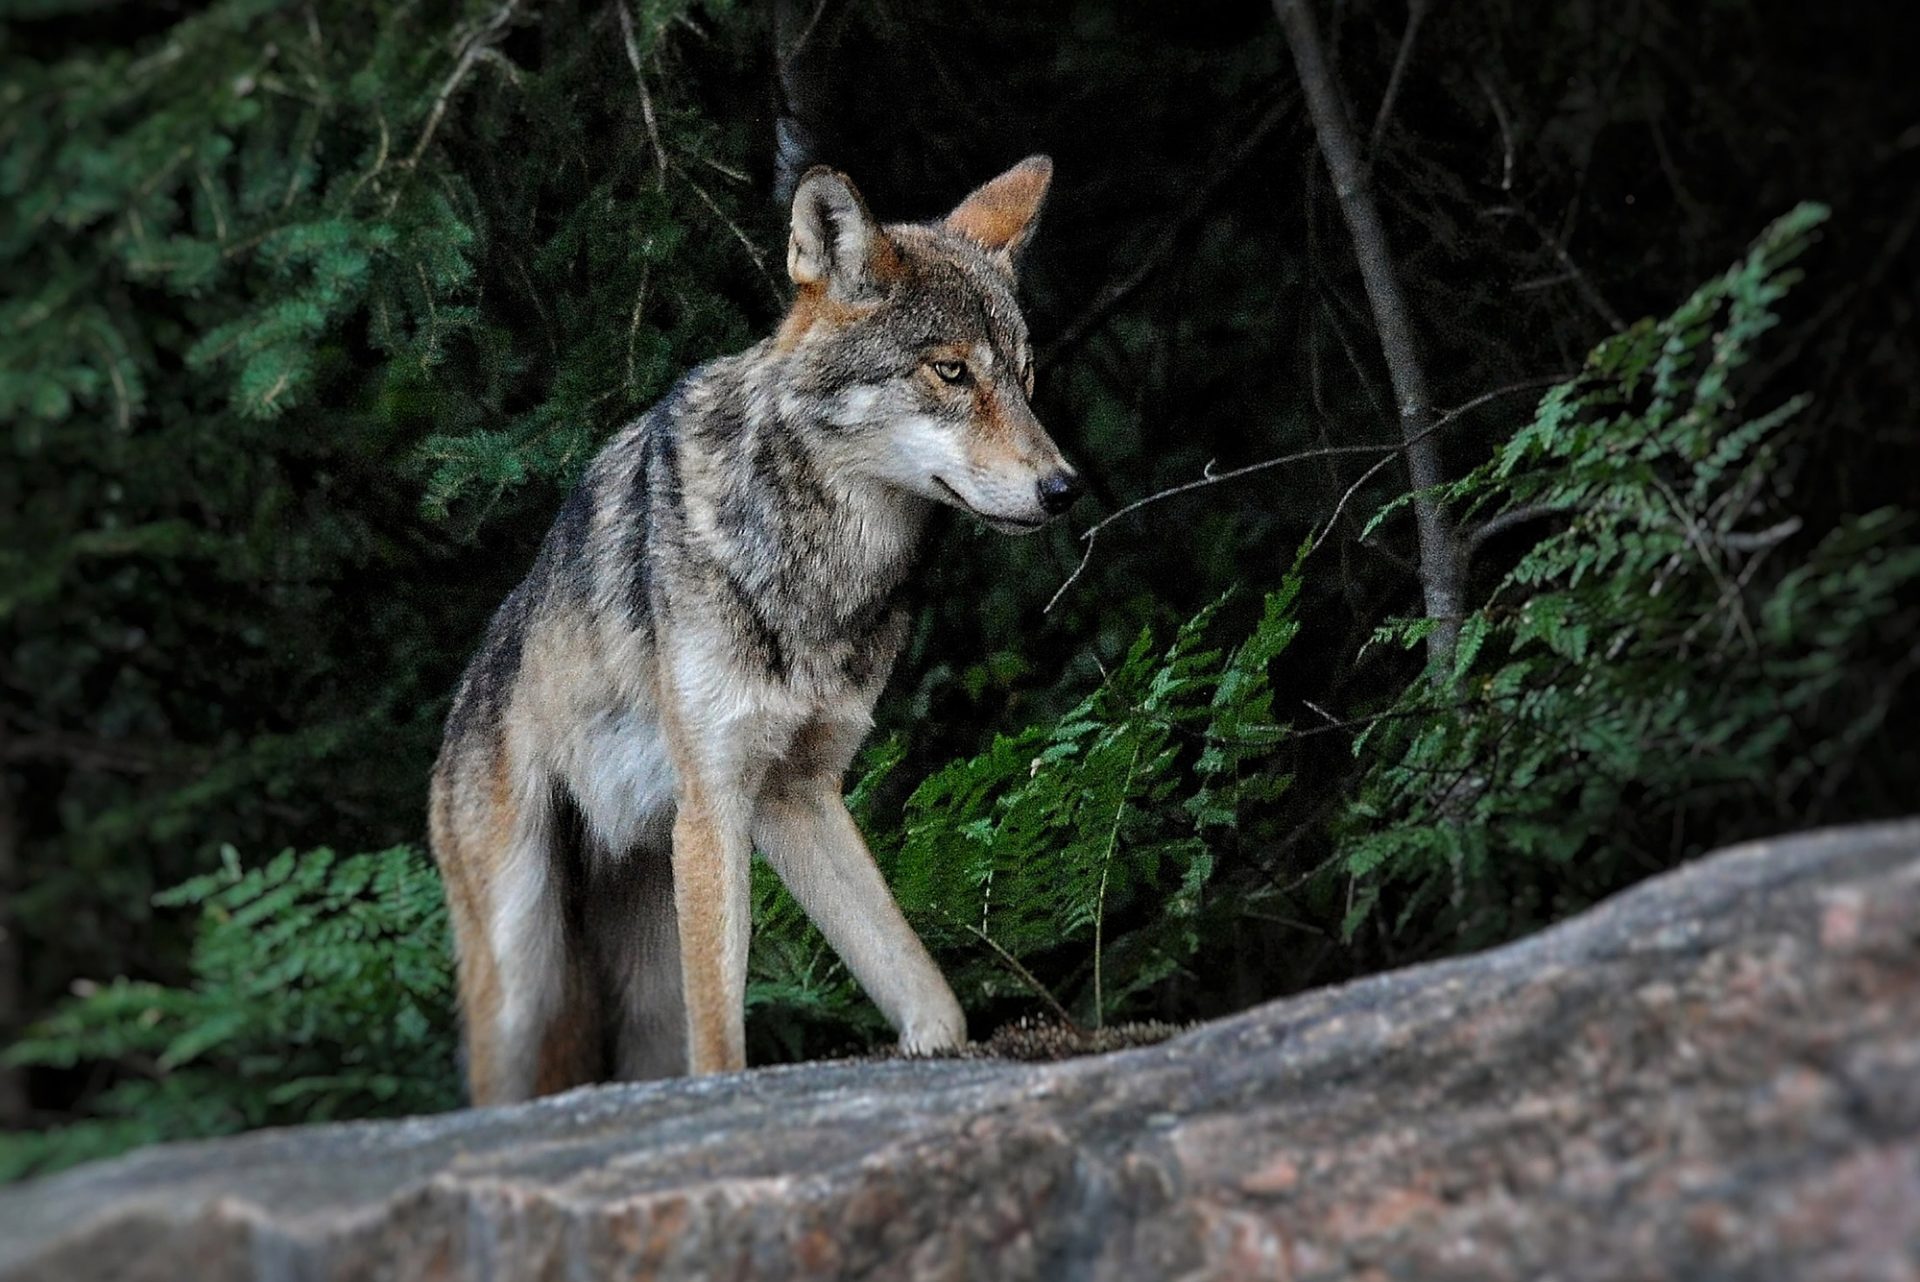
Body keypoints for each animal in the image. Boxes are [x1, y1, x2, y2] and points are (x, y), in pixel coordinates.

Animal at [428, 157, 1082, 1105]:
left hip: (642, 971)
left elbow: (930, 996)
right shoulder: (714, 801)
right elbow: (721, 1044)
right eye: (952, 372)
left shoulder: (796, 793)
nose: (1065, 489)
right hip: (523, 969)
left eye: (1026, 378)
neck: (823, 576)